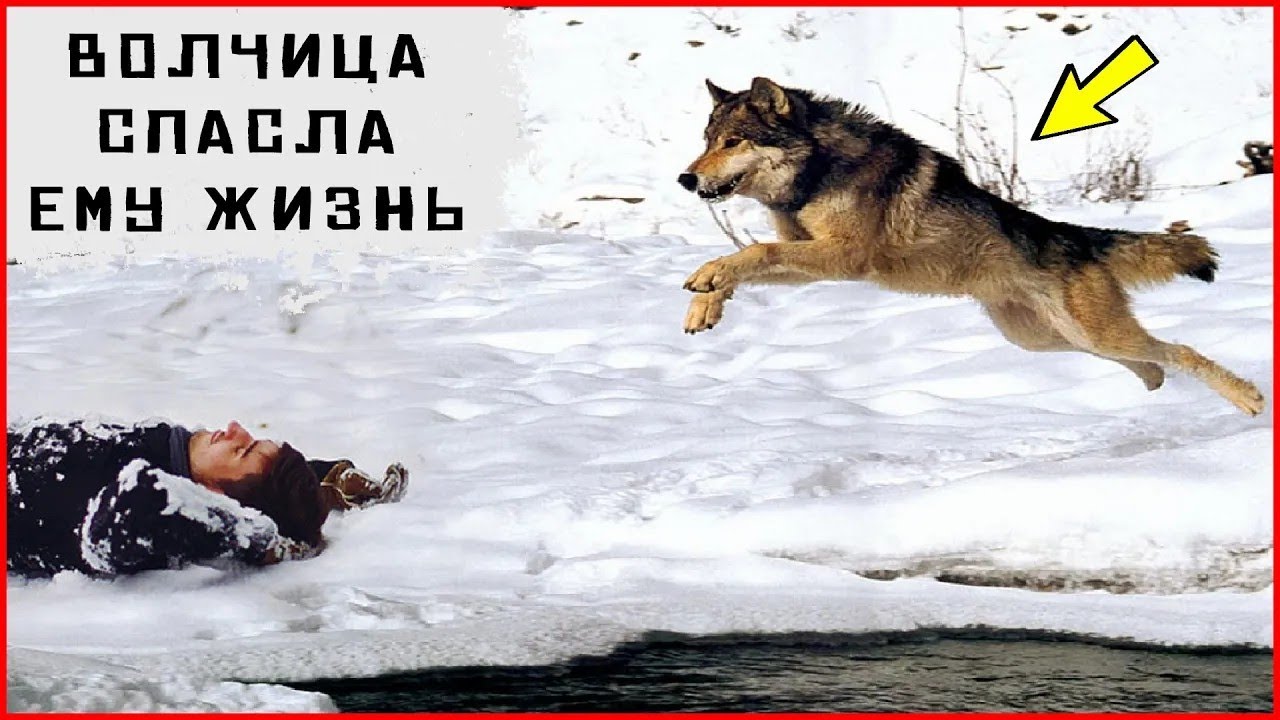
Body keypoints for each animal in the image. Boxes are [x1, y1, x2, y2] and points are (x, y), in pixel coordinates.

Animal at [677, 77, 1265, 416]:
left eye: (733, 142)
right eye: (706, 142)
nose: (686, 178)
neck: (817, 173)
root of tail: (1072, 234)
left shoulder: (845, 258)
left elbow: (754, 253)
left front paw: (707, 280)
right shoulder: (810, 254)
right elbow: (746, 262)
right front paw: (705, 304)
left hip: (1088, 332)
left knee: (1179, 350)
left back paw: (1250, 400)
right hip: (1045, 339)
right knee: (1152, 361)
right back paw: (1157, 389)